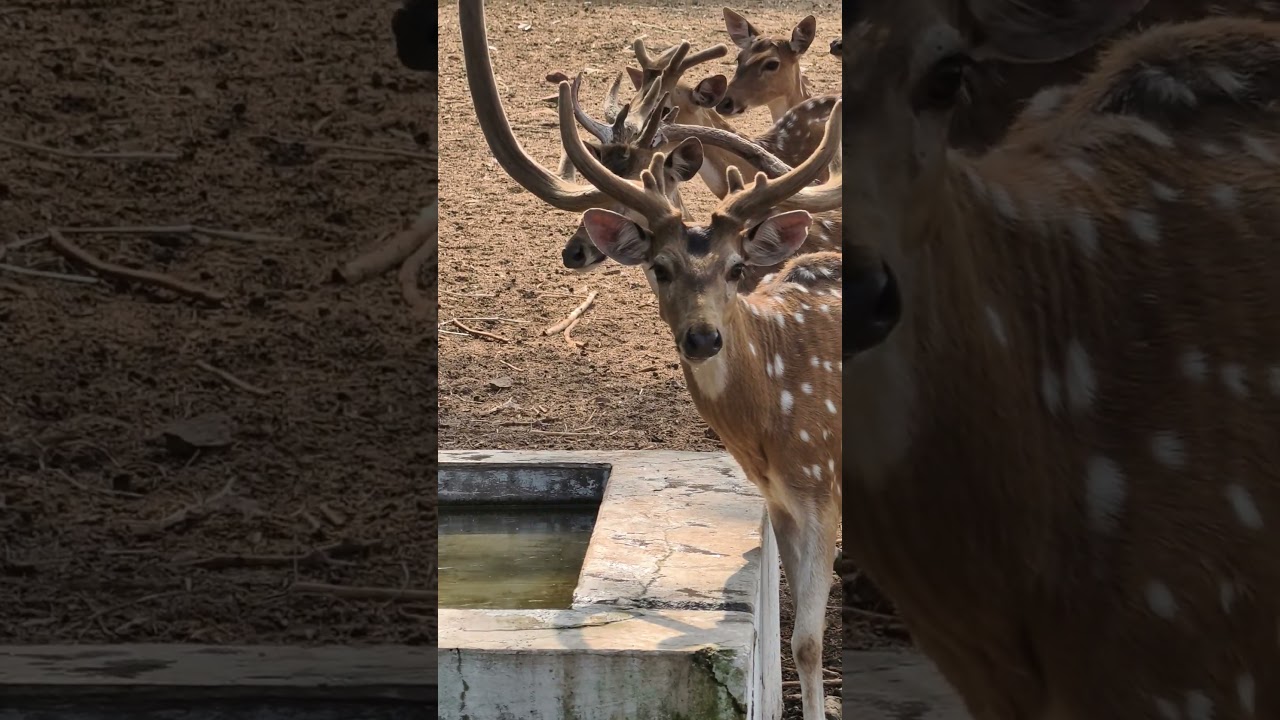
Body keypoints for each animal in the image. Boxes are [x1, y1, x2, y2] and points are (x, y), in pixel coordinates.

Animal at [555, 71, 845, 720]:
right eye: (661, 267)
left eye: (737, 268)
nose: (704, 336)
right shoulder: (781, 499)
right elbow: (798, 635)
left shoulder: (823, 484)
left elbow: (808, 640)